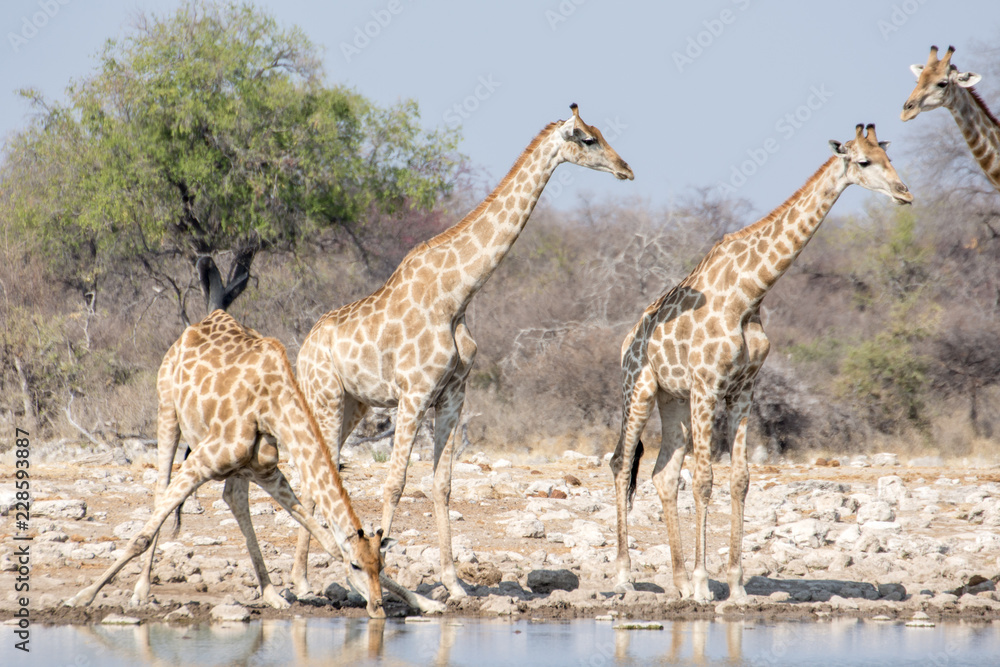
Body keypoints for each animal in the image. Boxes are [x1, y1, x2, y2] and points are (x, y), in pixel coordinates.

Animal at [64, 310, 431, 618]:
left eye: (379, 565)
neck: (272, 403)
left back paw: (270, 594)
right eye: (355, 566)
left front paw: (425, 601)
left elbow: (328, 541)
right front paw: (82, 596)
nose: (378, 607)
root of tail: (192, 328)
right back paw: (141, 591)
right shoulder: (201, 462)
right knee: (160, 491)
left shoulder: (267, 472)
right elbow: (141, 537)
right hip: (167, 409)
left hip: (237, 466)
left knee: (234, 499)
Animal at [294, 104, 634, 599]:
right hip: (325, 397)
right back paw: (301, 581)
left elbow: (442, 485)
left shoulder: (453, 394)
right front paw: (384, 575)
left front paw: (454, 583)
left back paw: (305, 578)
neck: (457, 295)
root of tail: (303, 350)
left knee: (320, 473)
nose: (626, 169)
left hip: (354, 404)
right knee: (312, 475)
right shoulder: (414, 394)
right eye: (588, 139)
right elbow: (395, 483)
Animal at [609, 125, 912, 602]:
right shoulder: (708, 384)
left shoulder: (743, 390)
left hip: (673, 400)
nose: (904, 193)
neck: (750, 294)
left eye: (888, 157)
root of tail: (627, 338)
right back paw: (625, 576)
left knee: (662, 474)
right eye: (864, 162)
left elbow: (740, 479)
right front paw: (704, 584)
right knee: (622, 464)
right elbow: (705, 479)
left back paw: (676, 582)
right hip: (637, 389)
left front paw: (734, 585)